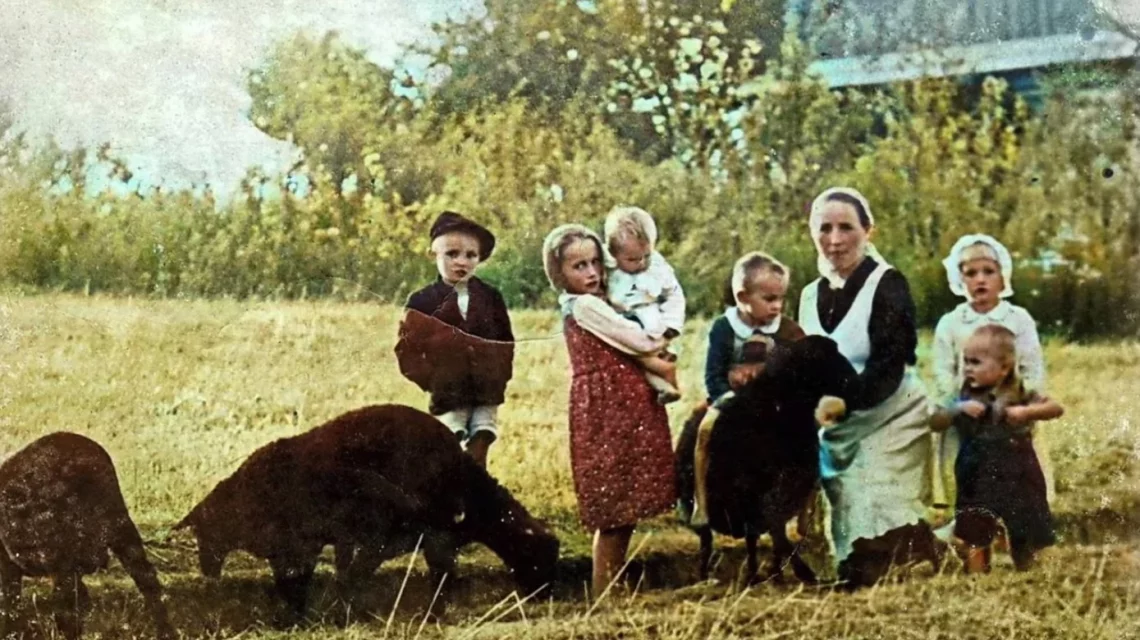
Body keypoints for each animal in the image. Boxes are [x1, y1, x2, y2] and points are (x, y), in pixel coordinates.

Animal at [0, 431, 173, 634]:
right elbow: (12, 608)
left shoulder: (62, 569)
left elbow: (65, 614)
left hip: (122, 529)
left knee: (145, 576)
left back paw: (165, 629)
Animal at [674, 335, 857, 584]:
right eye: (826, 358)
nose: (854, 381)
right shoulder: (763, 495)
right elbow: (776, 531)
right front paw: (804, 574)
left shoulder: (783, 493)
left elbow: (773, 533)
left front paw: (778, 572)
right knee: (707, 540)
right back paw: (706, 575)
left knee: (749, 539)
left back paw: (755, 573)